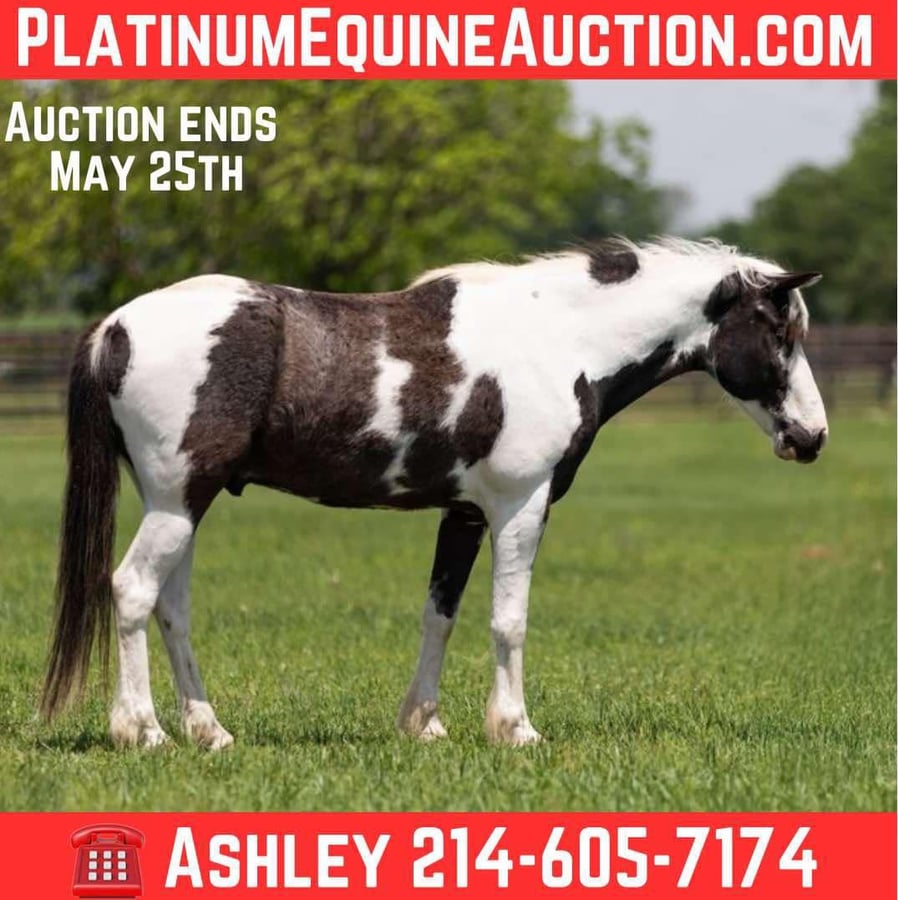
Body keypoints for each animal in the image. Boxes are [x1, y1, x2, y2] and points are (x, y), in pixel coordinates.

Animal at [40, 237, 828, 748]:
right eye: (776, 331)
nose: (813, 437)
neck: (560, 339)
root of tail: (113, 328)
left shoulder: (465, 514)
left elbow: (438, 616)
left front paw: (425, 724)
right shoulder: (520, 507)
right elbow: (509, 621)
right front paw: (515, 729)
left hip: (181, 503)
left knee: (172, 607)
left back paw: (209, 732)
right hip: (177, 502)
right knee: (132, 592)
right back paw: (141, 732)